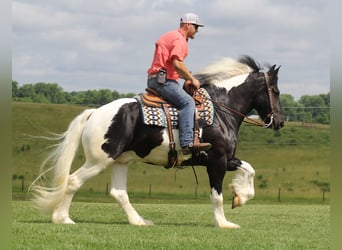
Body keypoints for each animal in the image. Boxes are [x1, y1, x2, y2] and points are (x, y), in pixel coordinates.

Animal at [30, 56, 284, 229]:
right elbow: (217, 195)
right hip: (99, 161)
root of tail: (95, 113)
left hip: (120, 161)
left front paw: (240, 197)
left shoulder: (227, 159)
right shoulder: (217, 161)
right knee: (73, 181)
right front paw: (224, 223)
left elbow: (250, 169)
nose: (280, 121)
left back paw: (139, 221)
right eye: (275, 91)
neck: (221, 111)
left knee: (118, 193)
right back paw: (63, 218)